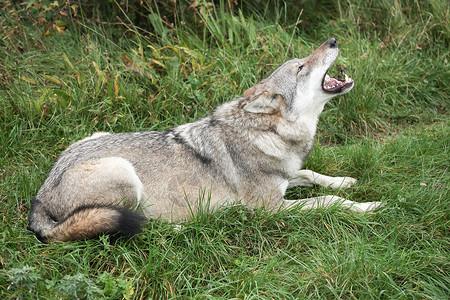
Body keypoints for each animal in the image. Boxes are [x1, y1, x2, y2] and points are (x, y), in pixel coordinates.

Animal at [26, 38, 382, 244]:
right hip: (124, 174)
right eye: (301, 67)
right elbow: (330, 202)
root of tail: (39, 199)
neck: (269, 134)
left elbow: (311, 174)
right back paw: (189, 226)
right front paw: (369, 206)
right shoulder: (270, 209)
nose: (332, 40)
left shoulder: (288, 177)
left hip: (96, 138)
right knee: (139, 228)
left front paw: (346, 181)